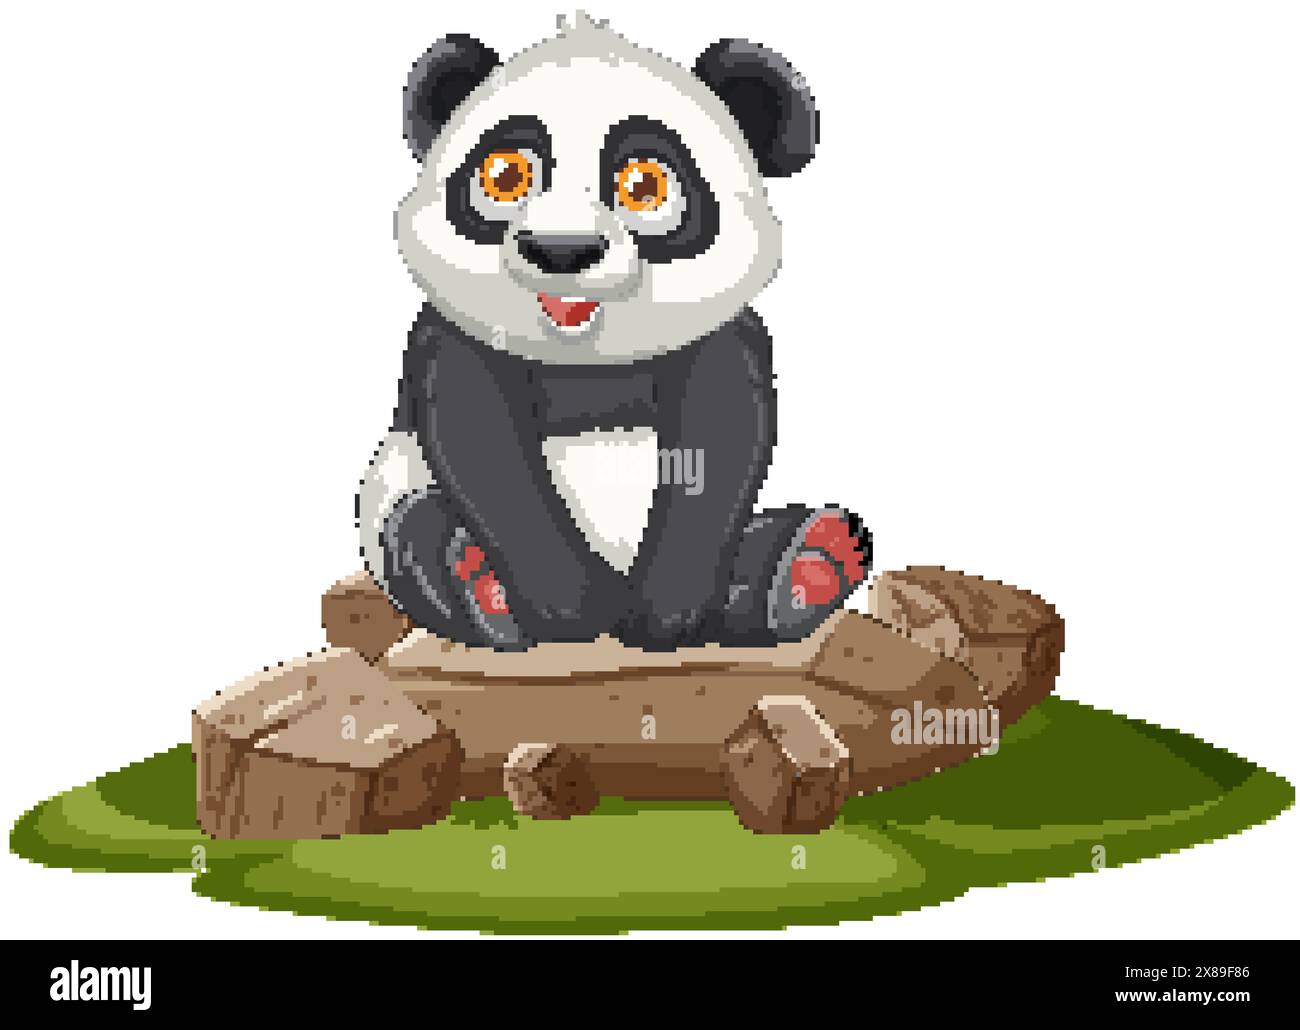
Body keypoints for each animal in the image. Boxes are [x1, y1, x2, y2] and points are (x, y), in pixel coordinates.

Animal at [357, 12, 871, 652]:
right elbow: (480, 441)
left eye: (645, 185)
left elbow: (720, 437)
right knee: (416, 530)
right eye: (505, 175)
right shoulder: (454, 337)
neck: (584, 355)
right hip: (393, 496)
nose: (561, 250)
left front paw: (669, 613)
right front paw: (566, 608)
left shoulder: (717, 342)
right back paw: (479, 581)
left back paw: (809, 563)